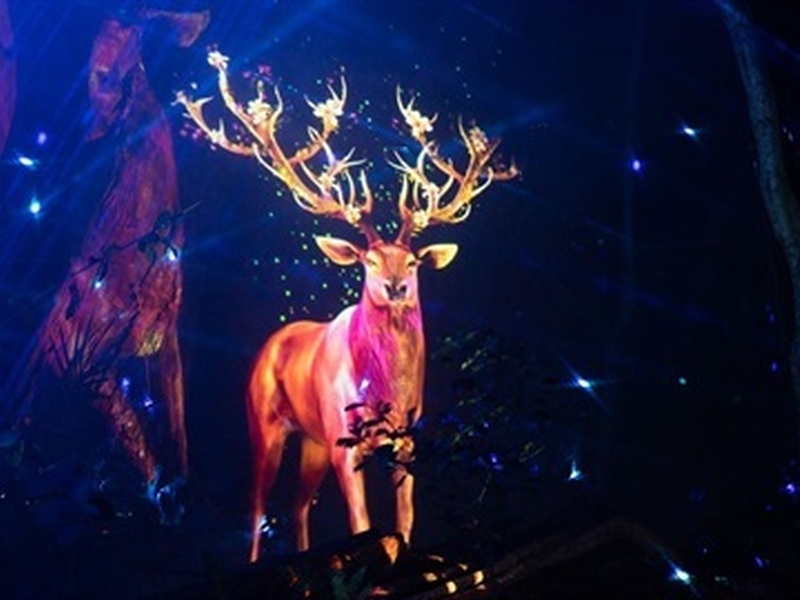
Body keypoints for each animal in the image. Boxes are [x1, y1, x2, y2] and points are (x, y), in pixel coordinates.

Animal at [177, 49, 518, 562]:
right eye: (369, 260)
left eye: (413, 260)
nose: (396, 287)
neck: (386, 388)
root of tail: (272, 341)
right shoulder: (345, 439)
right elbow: (362, 523)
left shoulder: (405, 437)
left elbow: (404, 517)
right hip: (265, 423)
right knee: (256, 504)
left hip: (313, 441)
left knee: (298, 504)